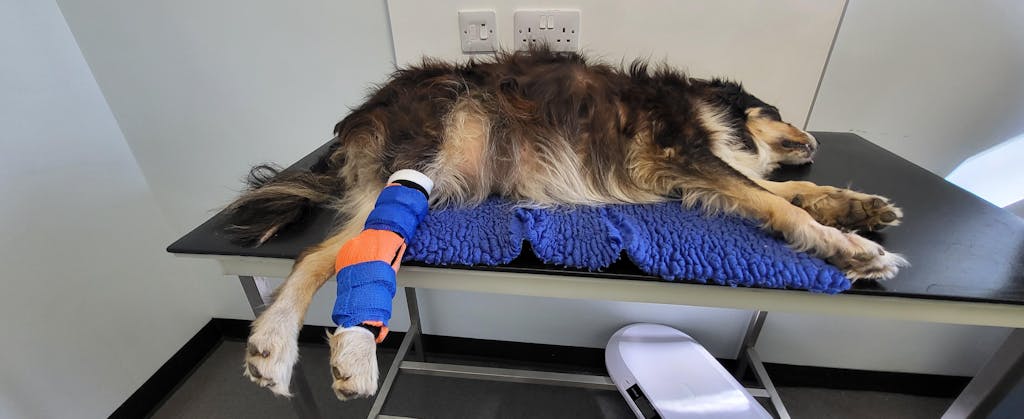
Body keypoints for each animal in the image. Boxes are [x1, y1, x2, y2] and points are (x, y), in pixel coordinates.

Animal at [225, 48, 907, 400]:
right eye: (777, 109)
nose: (814, 138)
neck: (702, 107)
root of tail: (361, 114)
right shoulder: (681, 153)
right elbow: (778, 200)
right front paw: (852, 249)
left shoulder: (692, 172)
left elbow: (788, 189)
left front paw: (858, 206)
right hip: (430, 148)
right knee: (340, 254)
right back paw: (347, 353)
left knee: (317, 256)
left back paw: (273, 346)